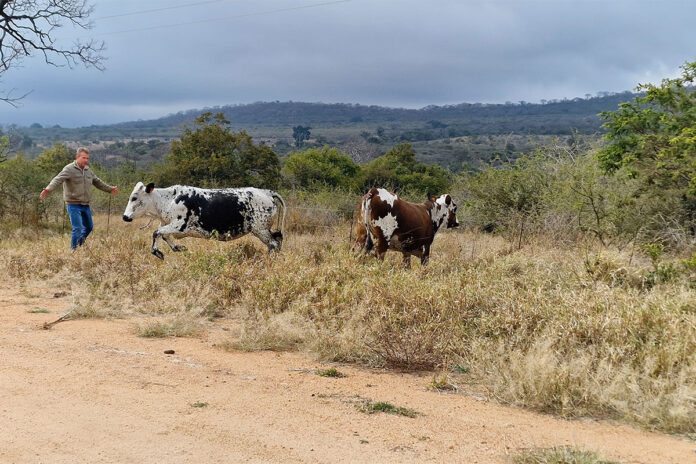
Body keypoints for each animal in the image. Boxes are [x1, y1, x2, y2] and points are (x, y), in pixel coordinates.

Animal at [122, 182, 286, 260]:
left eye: (134, 198)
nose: (125, 217)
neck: (168, 200)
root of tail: (267, 192)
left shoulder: (180, 226)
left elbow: (156, 233)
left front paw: (157, 252)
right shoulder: (167, 225)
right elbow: (163, 235)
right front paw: (179, 248)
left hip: (260, 230)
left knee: (274, 244)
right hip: (265, 229)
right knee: (278, 239)